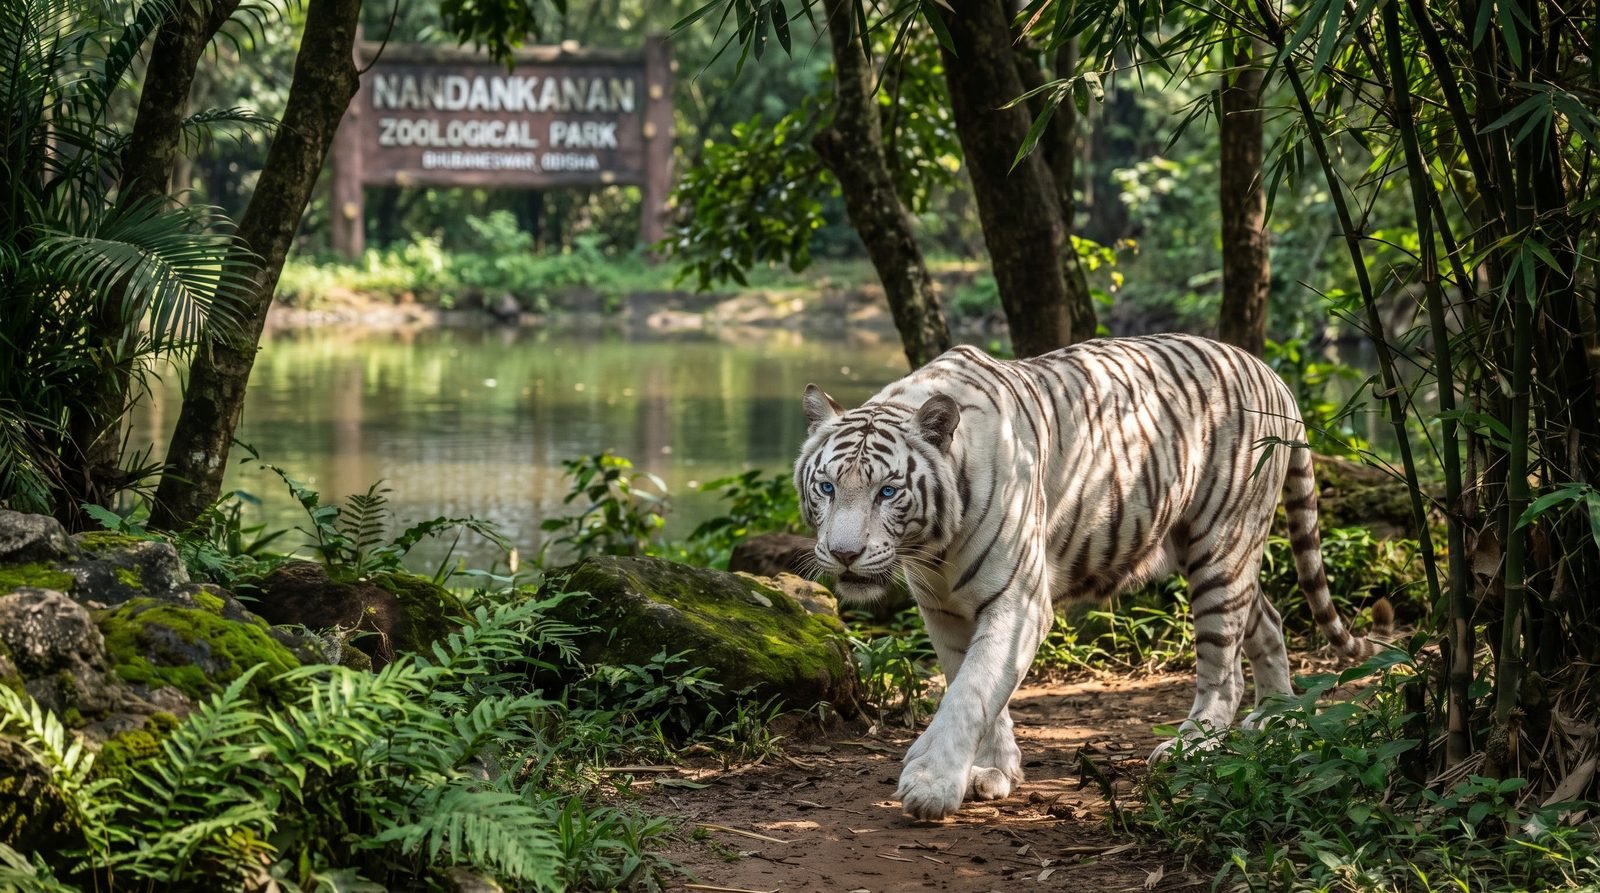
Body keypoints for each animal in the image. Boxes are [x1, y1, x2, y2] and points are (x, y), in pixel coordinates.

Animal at [794, 333, 1390, 821]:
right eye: (826, 487)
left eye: (887, 491)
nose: (844, 554)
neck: (931, 547)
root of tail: (1271, 373)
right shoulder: (943, 611)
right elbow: (977, 687)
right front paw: (993, 772)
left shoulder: (1018, 601)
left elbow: (971, 693)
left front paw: (932, 784)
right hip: (1210, 550)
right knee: (1265, 618)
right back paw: (1278, 718)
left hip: (1222, 544)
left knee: (1224, 668)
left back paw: (1193, 746)